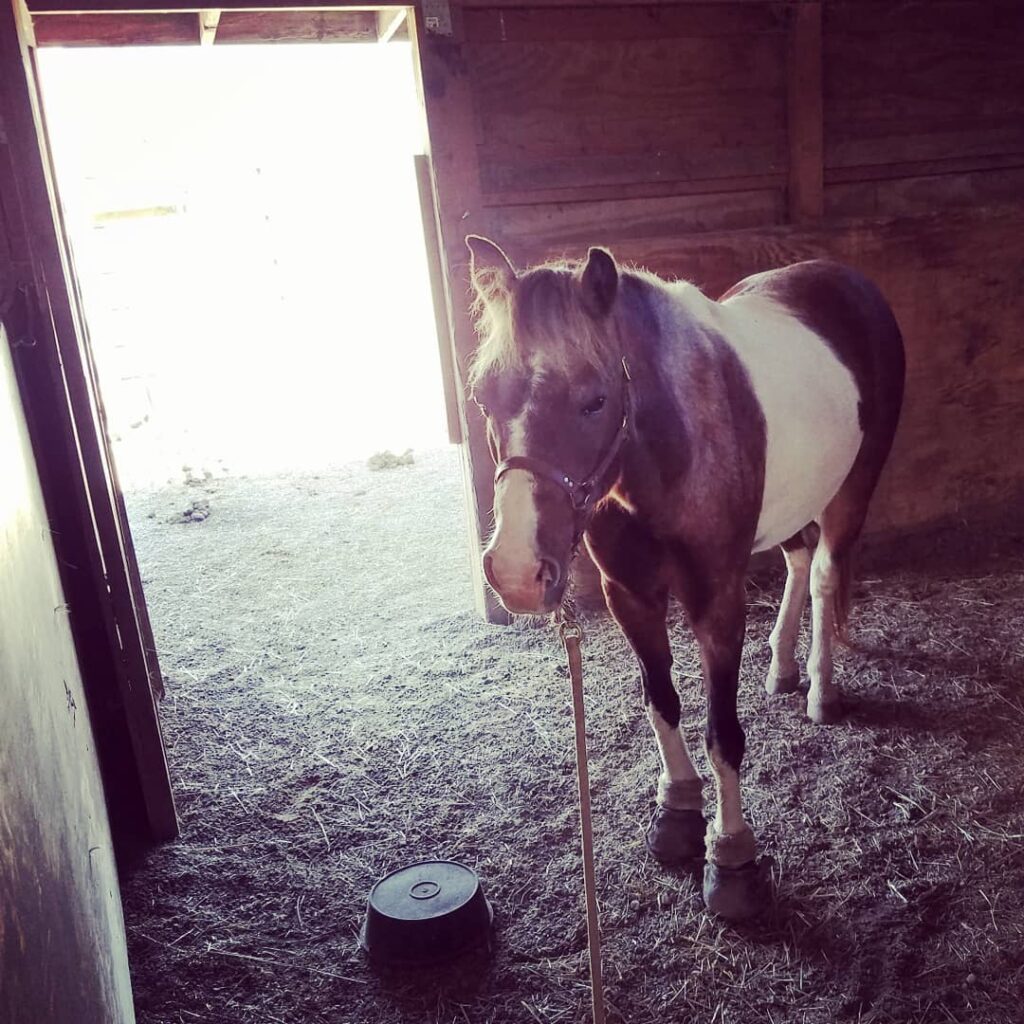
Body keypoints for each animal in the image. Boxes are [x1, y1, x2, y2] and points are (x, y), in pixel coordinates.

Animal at [465, 235, 905, 919]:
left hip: (851, 490)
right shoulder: (631, 595)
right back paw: (782, 666)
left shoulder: (716, 600)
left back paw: (820, 690)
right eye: (484, 397)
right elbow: (661, 701)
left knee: (825, 572)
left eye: (594, 400)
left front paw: (732, 859)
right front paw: (676, 815)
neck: (668, 453)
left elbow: (722, 734)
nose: (515, 572)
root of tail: (844, 278)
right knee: (797, 560)